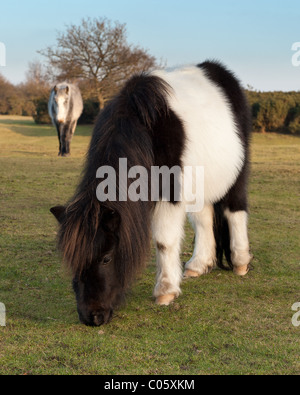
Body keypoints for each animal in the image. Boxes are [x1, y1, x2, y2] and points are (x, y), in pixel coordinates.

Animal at [50, 61, 252, 328]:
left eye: (106, 258)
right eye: (71, 259)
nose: (91, 317)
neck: (141, 128)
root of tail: (218, 72)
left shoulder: (170, 193)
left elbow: (164, 241)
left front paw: (165, 290)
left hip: (235, 175)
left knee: (235, 211)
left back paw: (240, 261)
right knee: (204, 219)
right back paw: (199, 264)